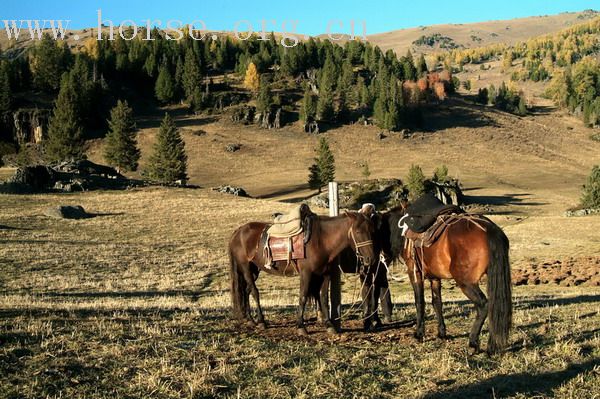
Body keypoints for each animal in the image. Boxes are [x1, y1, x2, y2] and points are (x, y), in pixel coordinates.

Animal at [229, 212, 376, 338]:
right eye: (358, 232)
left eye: (371, 231)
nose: (371, 258)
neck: (321, 240)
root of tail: (238, 231)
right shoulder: (306, 273)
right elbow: (303, 296)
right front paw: (301, 326)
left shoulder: (325, 274)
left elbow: (323, 297)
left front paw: (329, 325)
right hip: (245, 267)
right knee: (254, 291)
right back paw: (261, 321)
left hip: (254, 269)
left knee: (246, 290)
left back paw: (249, 319)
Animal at [380, 205, 510, 354]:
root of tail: (490, 229)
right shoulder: (435, 278)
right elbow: (437, 302)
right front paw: (441, 333)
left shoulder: (415, 273)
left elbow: (420, 302)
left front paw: (419, 334)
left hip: (466, 283)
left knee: (483, 305)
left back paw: (473, 342)